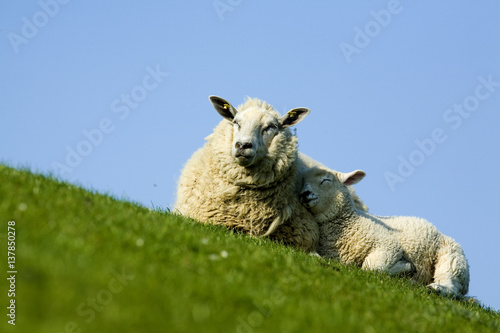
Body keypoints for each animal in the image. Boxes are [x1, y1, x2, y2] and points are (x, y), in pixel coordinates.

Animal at [300, 166, 468, 296]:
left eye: (326, 180)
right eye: (302, 181)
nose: (304, 194)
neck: (351, 220)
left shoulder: (388, 246)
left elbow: (372, 267)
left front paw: (406, 267)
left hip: (451, 257)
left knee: (450, 283)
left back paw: (436, 288)